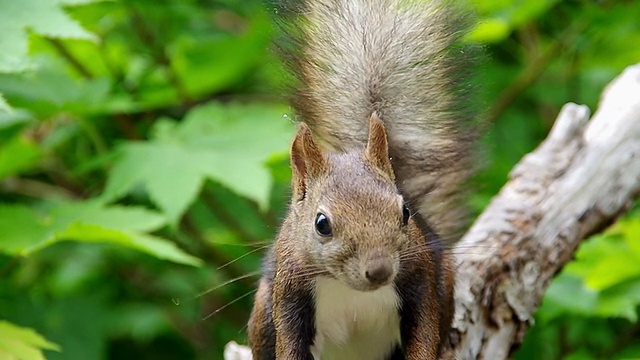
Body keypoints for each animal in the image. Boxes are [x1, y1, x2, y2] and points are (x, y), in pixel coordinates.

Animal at [248, 0, 478, 358]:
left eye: (405, 212)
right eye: (322, 224)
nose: (380, 270)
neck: (348, 289)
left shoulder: (421, 280)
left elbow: (424, 334)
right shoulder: (289, 294)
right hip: (262, 313)